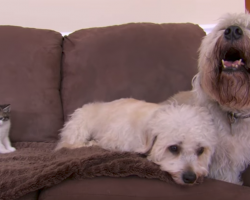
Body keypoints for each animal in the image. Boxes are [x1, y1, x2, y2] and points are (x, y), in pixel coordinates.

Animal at [56, 98, 217, 186]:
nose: (190, 178)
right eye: (174, 148)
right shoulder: (115, 139)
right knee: (70, 144)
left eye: (200, 150)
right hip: (79, 127)